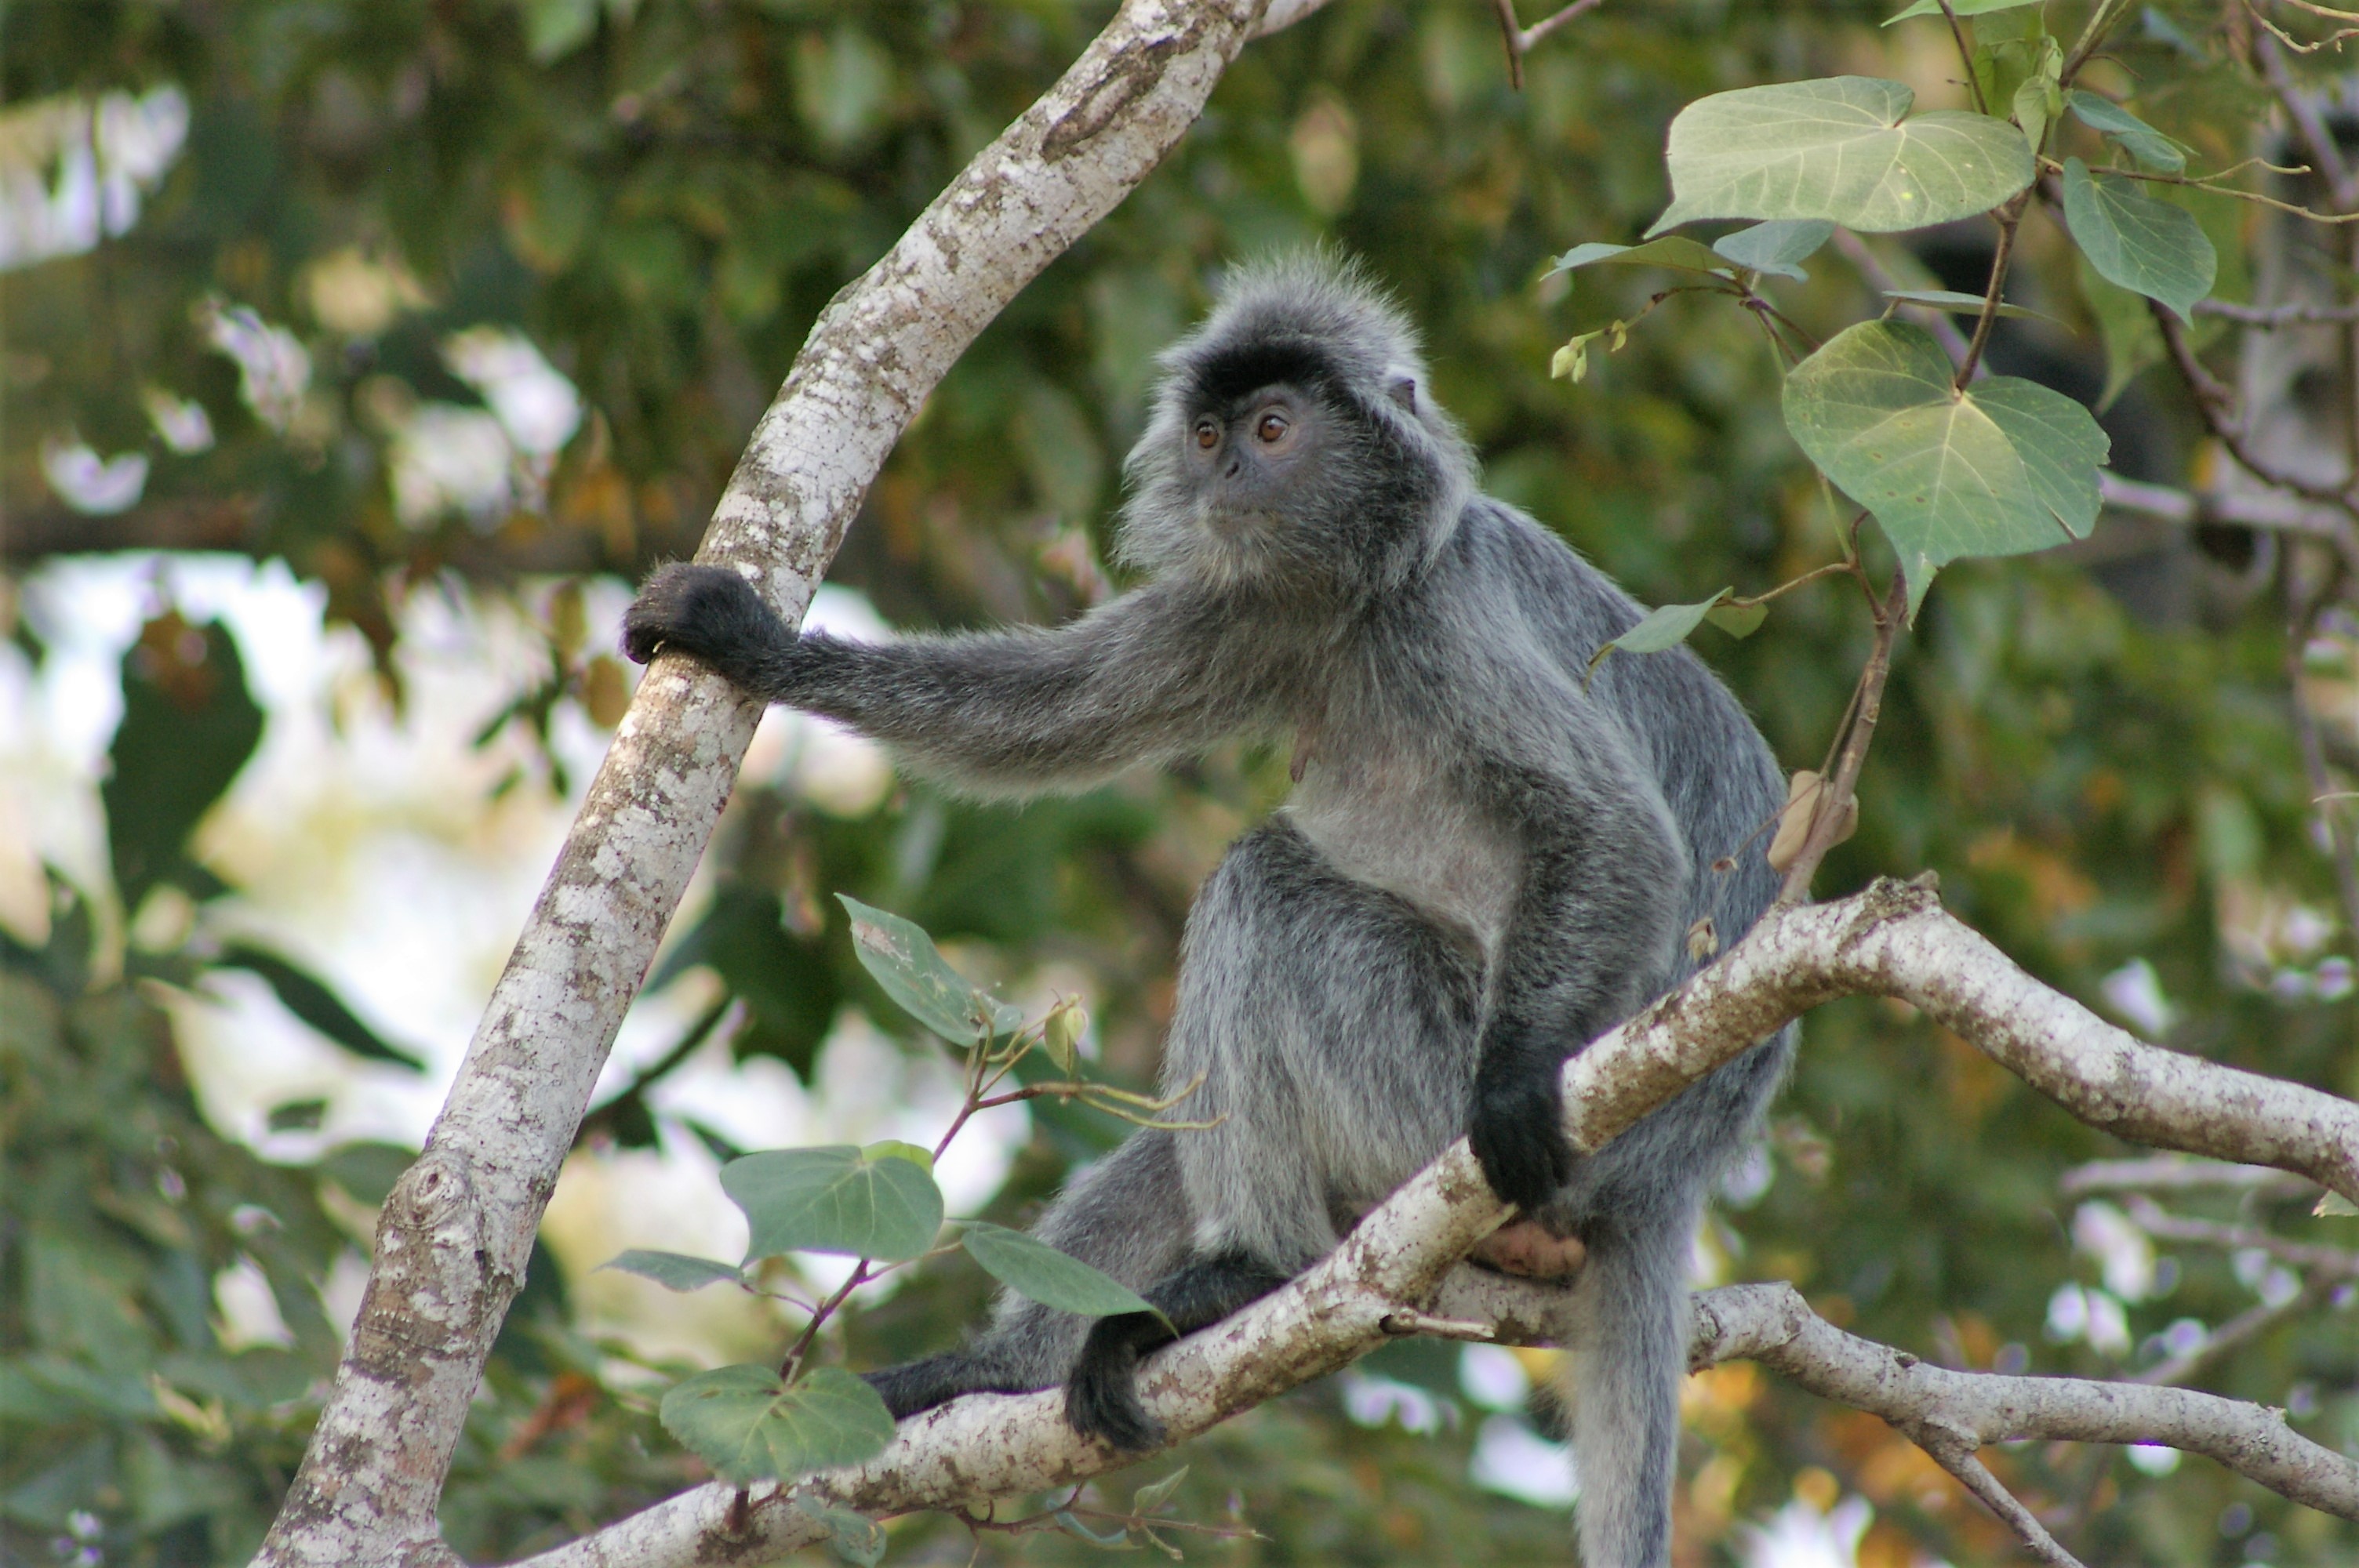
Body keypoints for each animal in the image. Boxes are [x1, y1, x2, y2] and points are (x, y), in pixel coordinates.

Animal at [622, 254, 1793, 1567]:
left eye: (1274, 431)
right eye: (1210, 435)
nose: (1229, 472)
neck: (1354, 603)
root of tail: (1670, 1175)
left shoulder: (1452, 618)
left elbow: (1616, 834)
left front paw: (1515, 1081)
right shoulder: (1253, 607)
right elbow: (1046, 717)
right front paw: (747, 642)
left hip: (1438, 1097)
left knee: (1262, 884)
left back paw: (1249, 1273)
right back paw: (998, 1370)